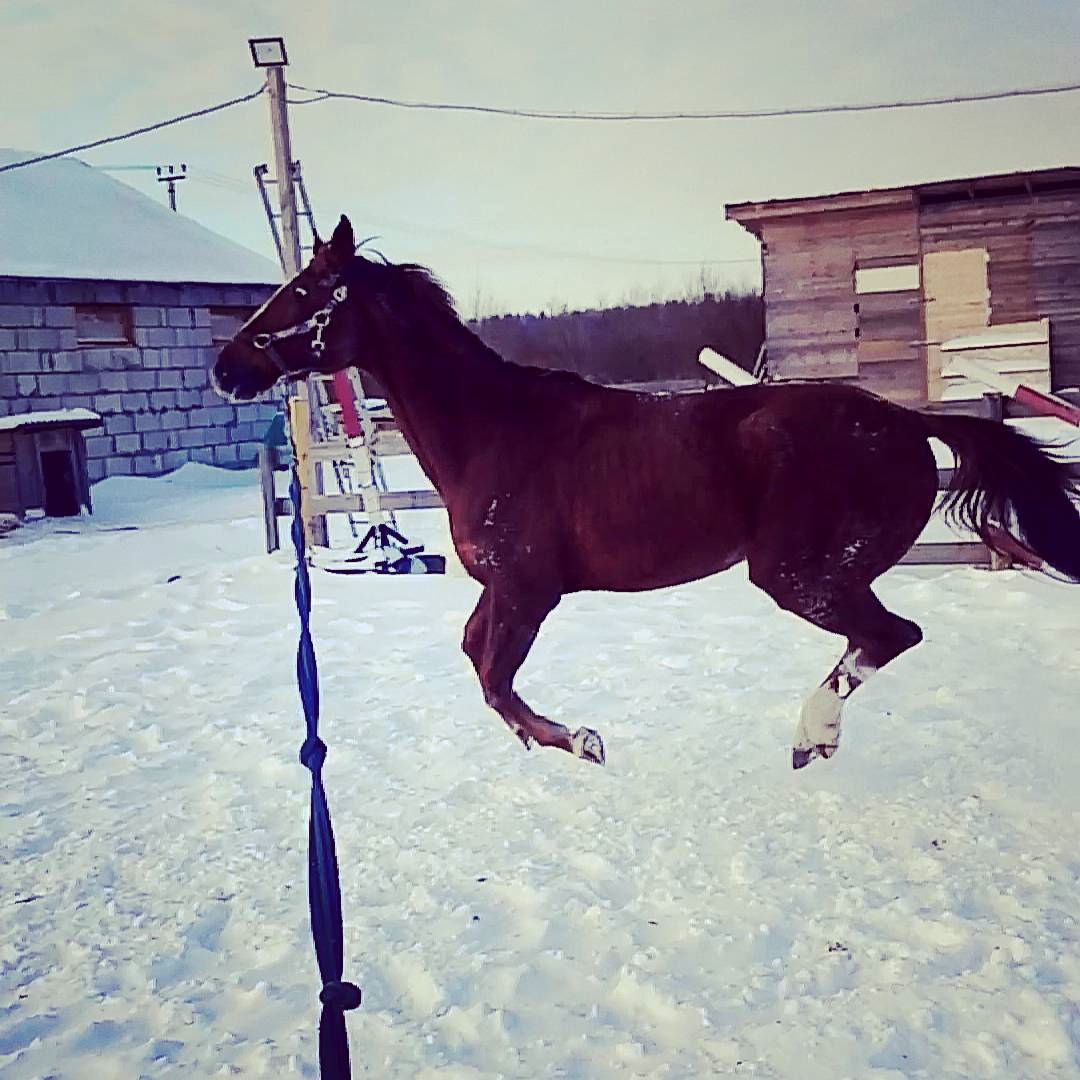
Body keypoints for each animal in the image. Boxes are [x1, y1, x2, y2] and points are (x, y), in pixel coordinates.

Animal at [213, 215, 1080, 771]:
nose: (226, 367)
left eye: (302, 293)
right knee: (880, 639)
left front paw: (581, 743)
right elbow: (474, 658)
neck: (494, 430)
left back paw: (811, 736)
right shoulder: (503, 587)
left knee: (892, 635)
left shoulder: (529, 590)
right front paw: (551, 740)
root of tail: (903, 421)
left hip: (800, 575)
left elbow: (494, 676)